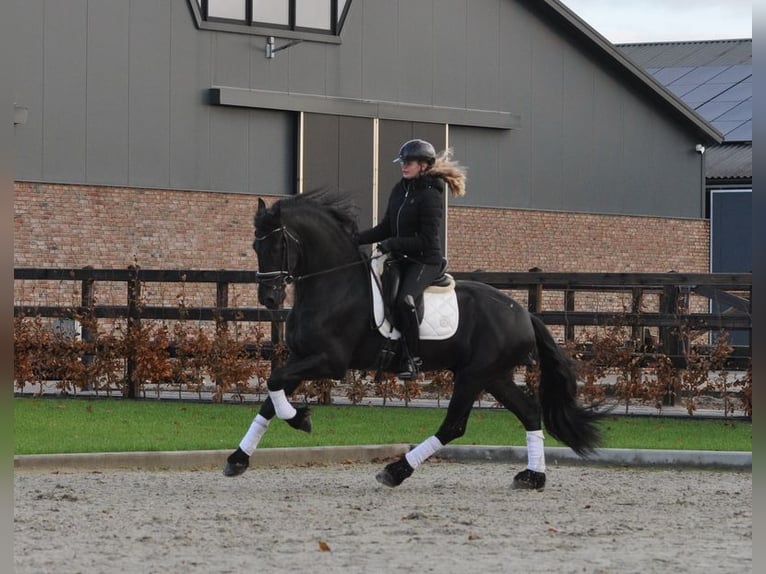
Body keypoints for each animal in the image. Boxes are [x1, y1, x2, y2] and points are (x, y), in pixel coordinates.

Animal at [222, 191, 600, 488]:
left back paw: (396, 471)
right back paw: (533, 477)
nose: (269, 298)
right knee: (530, 412)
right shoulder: (300, 358)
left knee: (454, 425)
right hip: (495, 377)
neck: (331, 285)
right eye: (255, 245)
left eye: (279, 243)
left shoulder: (329, 362)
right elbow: (271, 396)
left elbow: (273, 382)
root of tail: (523, 313)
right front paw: (239, 458)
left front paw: (300, 419)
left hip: (474, 375)